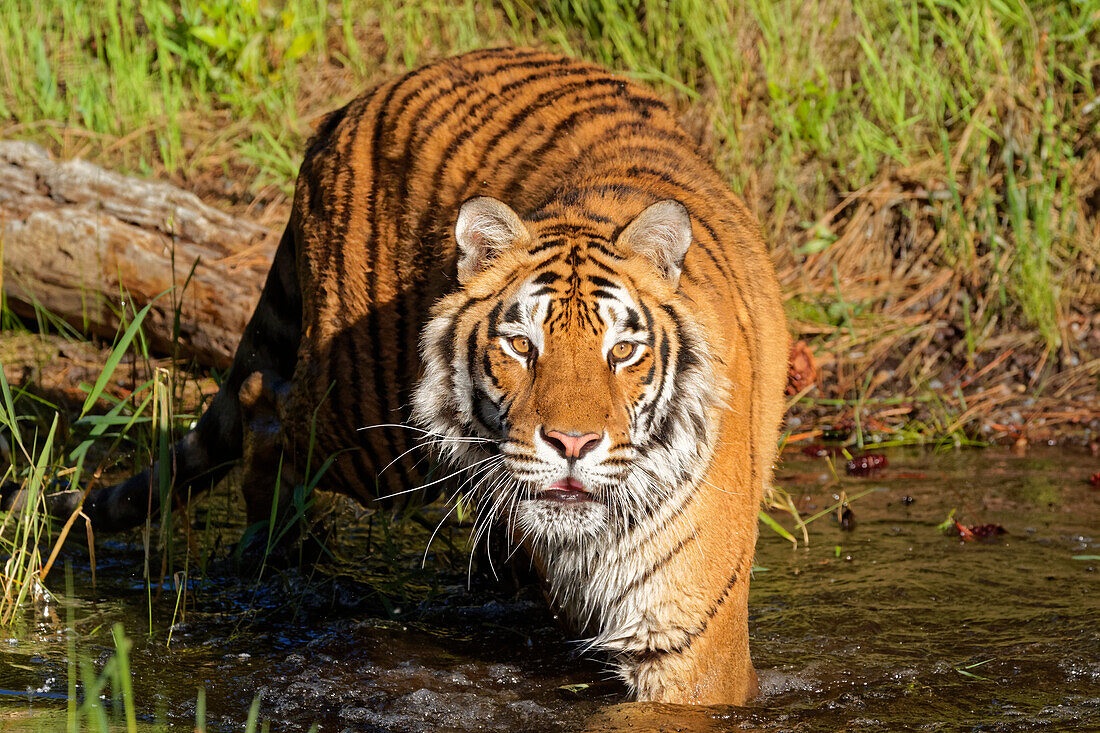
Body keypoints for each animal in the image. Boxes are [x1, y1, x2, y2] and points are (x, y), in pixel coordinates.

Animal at [47, 45, 787, 704]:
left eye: (623, 352)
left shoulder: (689, 645)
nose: (572, 445)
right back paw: (276, 557)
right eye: (521, 345)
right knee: (265, 406)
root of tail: (354, 102)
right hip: (371, 428)